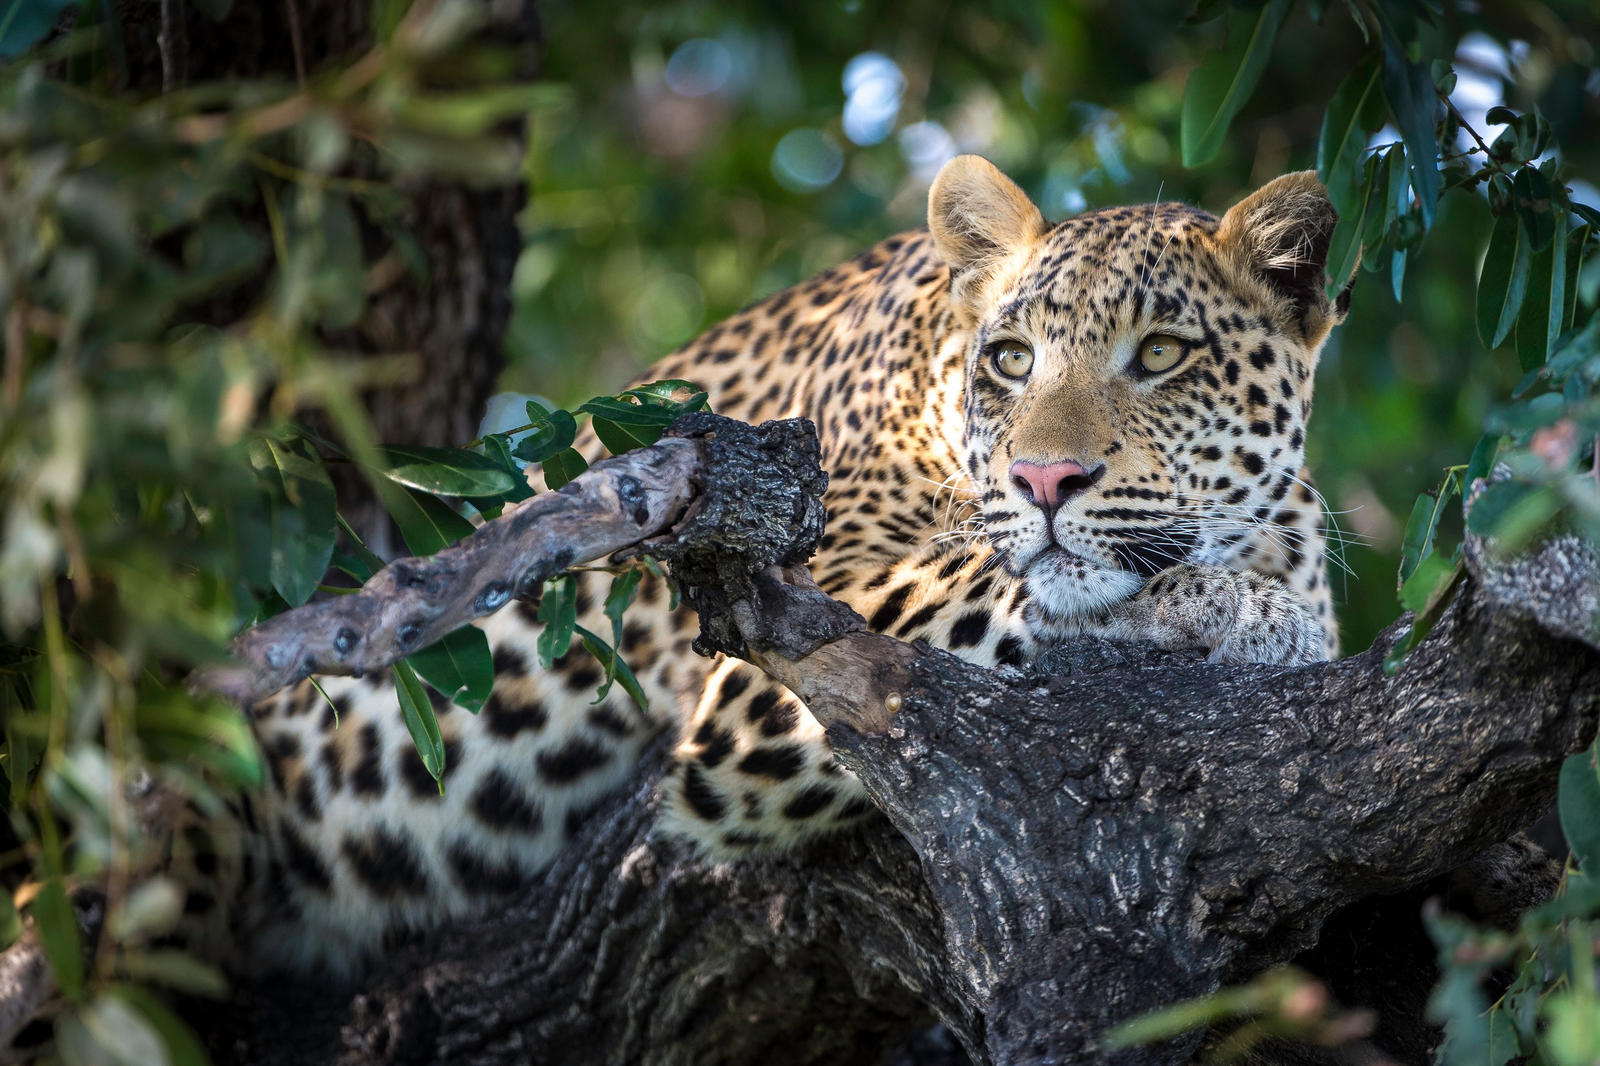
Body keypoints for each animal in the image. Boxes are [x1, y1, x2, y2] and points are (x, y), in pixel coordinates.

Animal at [169, 157, 1350, 978]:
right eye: (1011, 361)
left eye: (1163, 355)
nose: (1046, 479)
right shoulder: (763, 653)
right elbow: (1000, 584)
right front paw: (1236, 606)